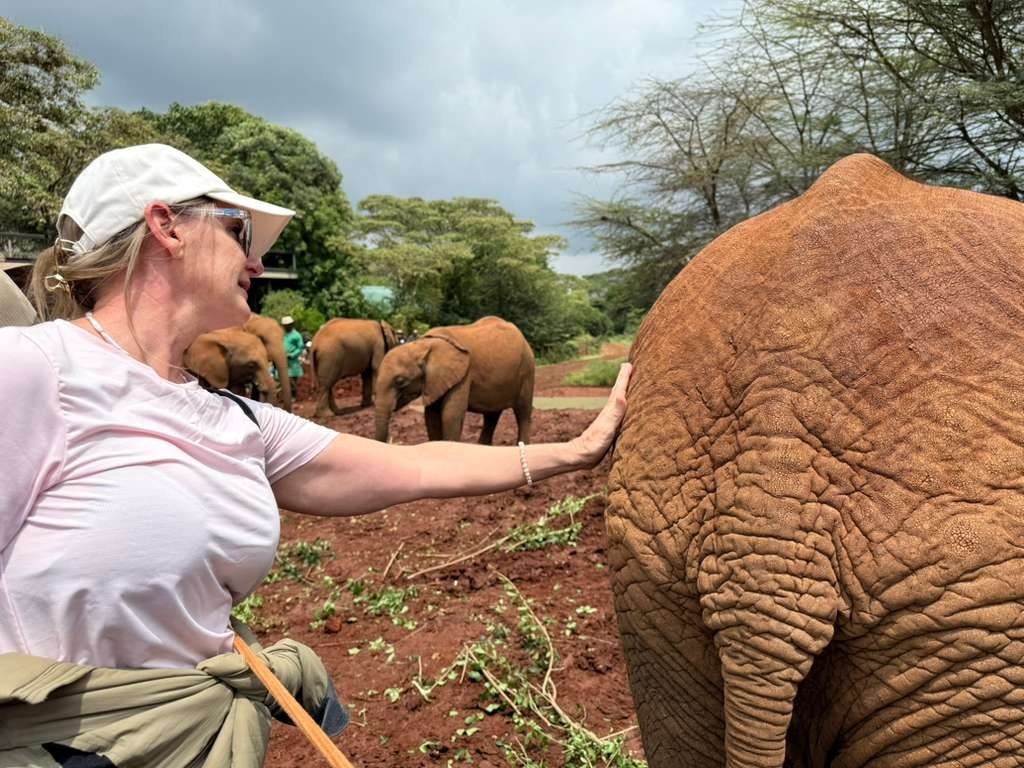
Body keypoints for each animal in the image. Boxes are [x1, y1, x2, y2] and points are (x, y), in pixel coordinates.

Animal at [374, 316, 534, 444]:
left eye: (400, 381)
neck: (423, 345)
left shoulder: (463, 376)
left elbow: (450, 415)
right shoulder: (434, 381)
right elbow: (431, 416)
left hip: (527, 371)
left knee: (523, 412)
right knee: (492, 415)